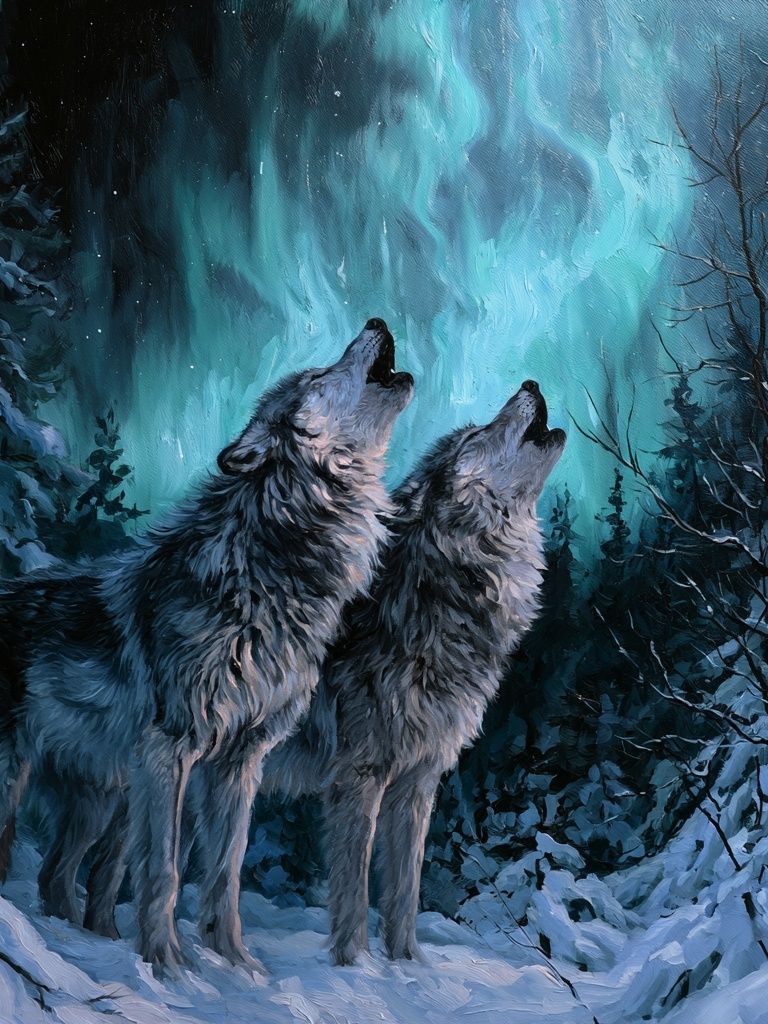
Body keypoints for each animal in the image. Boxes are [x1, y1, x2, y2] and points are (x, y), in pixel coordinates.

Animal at [0, 318, 413, 971]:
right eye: (320, 375)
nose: (374, 322)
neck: (270, 573)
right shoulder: (170, 748)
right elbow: (165, 872)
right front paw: (167, 966)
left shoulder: (239, 761)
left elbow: (225, 873)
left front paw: (237, 965)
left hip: (100, 796)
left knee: (57, 874)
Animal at [263, 379, 565, 965]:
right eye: (478, 432)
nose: (532, 384)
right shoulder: (358, 778)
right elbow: (354, 893)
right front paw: (354, 968)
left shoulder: (418, 782)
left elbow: (404, 892)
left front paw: (408, 967)